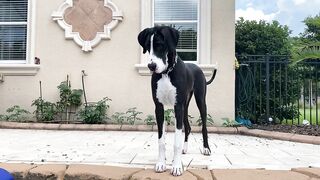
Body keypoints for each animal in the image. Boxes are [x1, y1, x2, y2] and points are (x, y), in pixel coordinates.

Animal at [138, 26, 218, 176]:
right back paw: (184, 149)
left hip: (200, 102)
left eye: (160, 45)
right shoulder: (159, 107)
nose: (151, 66)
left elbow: (176, 141)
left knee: (204, 127)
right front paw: (161, 163)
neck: (166, 73)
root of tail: (197, 67)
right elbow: (161, 140)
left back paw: (206, 148)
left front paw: (176, 166)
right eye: (147, 46)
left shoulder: (177, 107)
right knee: (188, 127)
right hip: (185, 107)